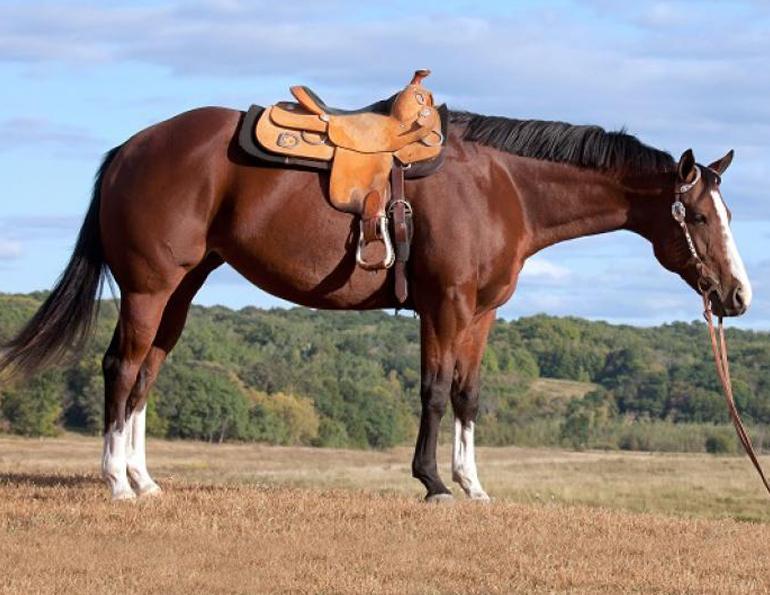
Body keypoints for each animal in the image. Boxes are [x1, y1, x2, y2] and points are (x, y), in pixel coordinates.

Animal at [0, 106, 750, 502]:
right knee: (121, 368)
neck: (501, 187)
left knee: (146, 373)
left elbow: (467, 395)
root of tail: (132, 147)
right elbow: (433, 391)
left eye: (726, 213)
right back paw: (115, 482)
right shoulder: (445, 306)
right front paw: (434, 482)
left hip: (180, 291)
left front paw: (473, 485)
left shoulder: (480, 314)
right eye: (700, 217)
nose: (737, 296)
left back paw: (143, 478)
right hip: (150, 288)